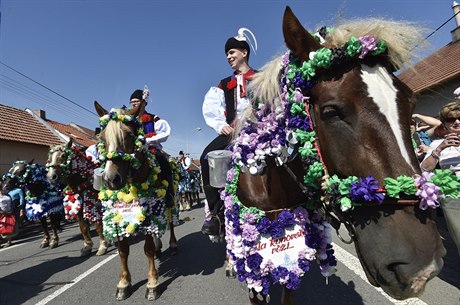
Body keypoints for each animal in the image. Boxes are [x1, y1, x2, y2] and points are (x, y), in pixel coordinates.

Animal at [93, 100, 178, 300]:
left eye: (129, 135)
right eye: (102, 137)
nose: (111, 179)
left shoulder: (147, 213)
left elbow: (147, 249)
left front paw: (152, 284)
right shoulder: (118, 217)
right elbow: (123, 250)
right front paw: (123, 284)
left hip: (169, 201)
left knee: (170, 222)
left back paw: (172, 245)